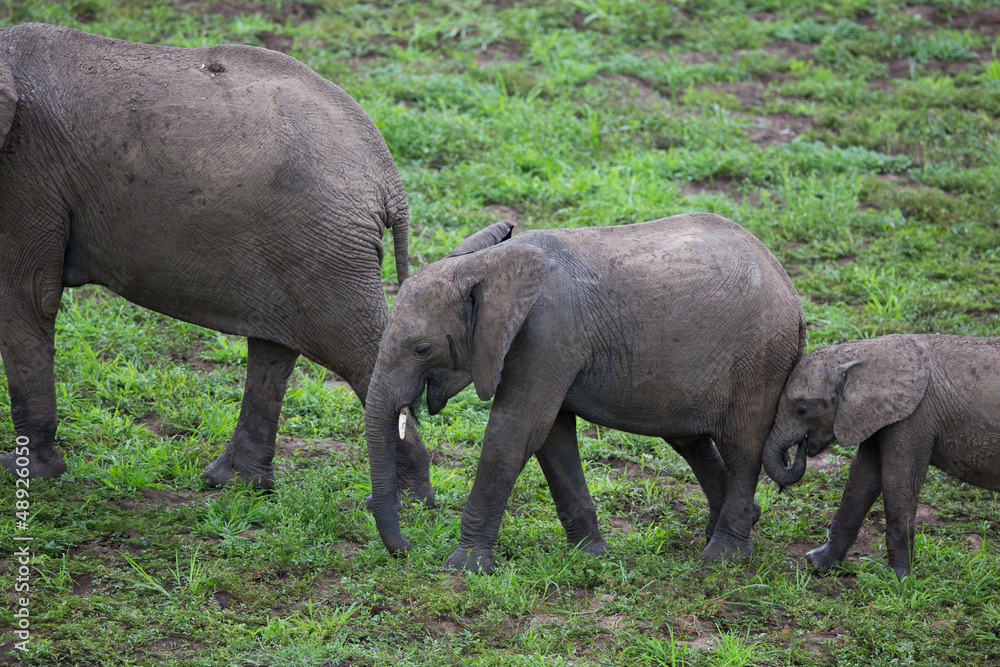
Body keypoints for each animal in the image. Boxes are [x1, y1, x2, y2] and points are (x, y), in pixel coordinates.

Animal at [0, 23, 433, 503]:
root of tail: (389, 178)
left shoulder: (26, 171)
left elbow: (25, 296)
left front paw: (23, 474)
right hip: (301, 243)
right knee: (276, 346)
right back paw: (236, 484)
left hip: (324, 241)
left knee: (355, 350)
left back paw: (406, 500)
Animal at [365, 213, 806, 573]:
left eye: (421, 349)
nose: (407, 549)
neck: (487, 265)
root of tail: (792, 292)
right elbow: (552, 438)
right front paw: (590, 554)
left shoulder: (547, 334)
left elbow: (515, 432)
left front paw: (464, 567)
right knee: (691, 441)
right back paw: (733, 526)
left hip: (758, 361)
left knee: (742, 448)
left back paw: (723, 557)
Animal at [762, 333, 1000, 579]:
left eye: (802, 410)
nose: (802, 446)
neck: (861, 352)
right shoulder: (873, 414)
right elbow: (862, 479)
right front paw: (817, 563)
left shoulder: (914, 416)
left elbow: (898, 480)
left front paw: (896, 577)